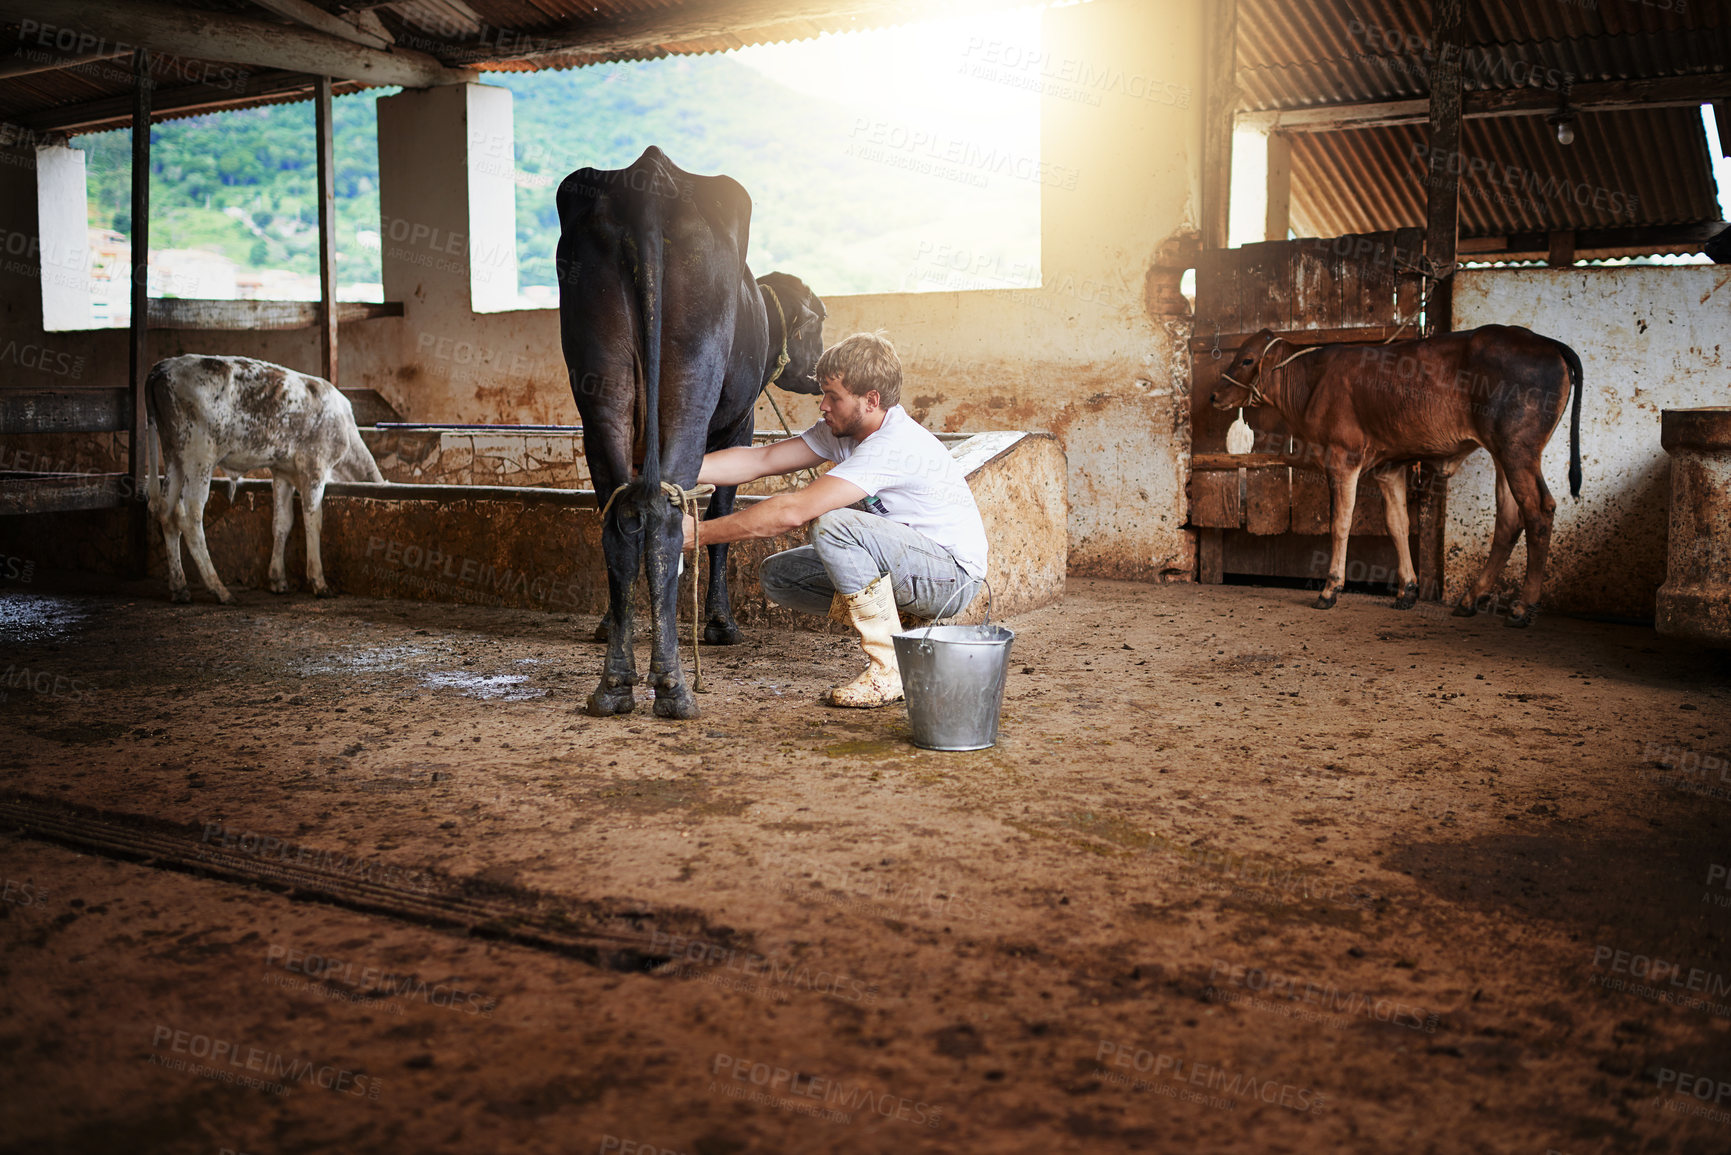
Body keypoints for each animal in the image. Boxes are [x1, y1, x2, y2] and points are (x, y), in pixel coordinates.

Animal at [145, 354, 382, 606]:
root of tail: (164, 366)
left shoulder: (282, 472)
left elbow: (282, 523)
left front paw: (278, 579)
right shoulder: (315, 466)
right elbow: (313, 520)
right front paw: (319, 581)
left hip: (174, 456)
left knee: (166, 512)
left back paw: (180, 587)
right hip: (199, 455)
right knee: (188, 516)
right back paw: (219, 589)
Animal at [557, 148, 820, 716]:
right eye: (821, 320)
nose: (818, 369)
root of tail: (649, 181)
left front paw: (611, 621)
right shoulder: (739, 426)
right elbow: (720, 516)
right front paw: (721, 623)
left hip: (601, 387)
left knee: (621, 515)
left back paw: (615, 684)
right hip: (692, 379)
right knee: (666, 514)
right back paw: (673, 684)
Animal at [1211, 325, 1578, 626]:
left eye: (1246, 359)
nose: (1214, 395)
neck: (1310, 383)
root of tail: (1546, 342)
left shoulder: (1342, 456)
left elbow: (1340, 522)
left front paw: (1330, 589)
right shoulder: (1388, 465)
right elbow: (1397, 524)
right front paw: (1408, 591)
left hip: (1518, 450)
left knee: (1538, 513)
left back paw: (1521, 608)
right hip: (1504, 453)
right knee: (1509, 520)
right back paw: (1470, 599)